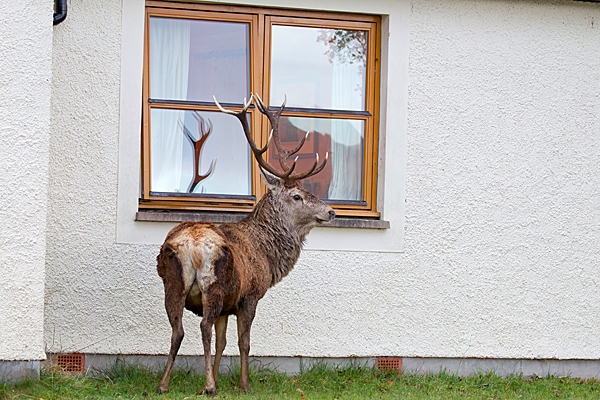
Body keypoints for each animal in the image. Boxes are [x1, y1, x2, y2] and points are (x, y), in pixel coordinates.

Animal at [155, 94, 336, 396]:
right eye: (297, 196)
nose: (332, 212)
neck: (266, 255)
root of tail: (191, 245)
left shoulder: (228, 306)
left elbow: (223, 342)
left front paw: (218, 377)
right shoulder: (248, 295)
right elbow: (243, 342)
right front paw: (243, 384)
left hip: (173, 284)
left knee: (177, 330)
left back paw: (163, 384)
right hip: (213, 286)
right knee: (202, 326)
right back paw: (207, 387)